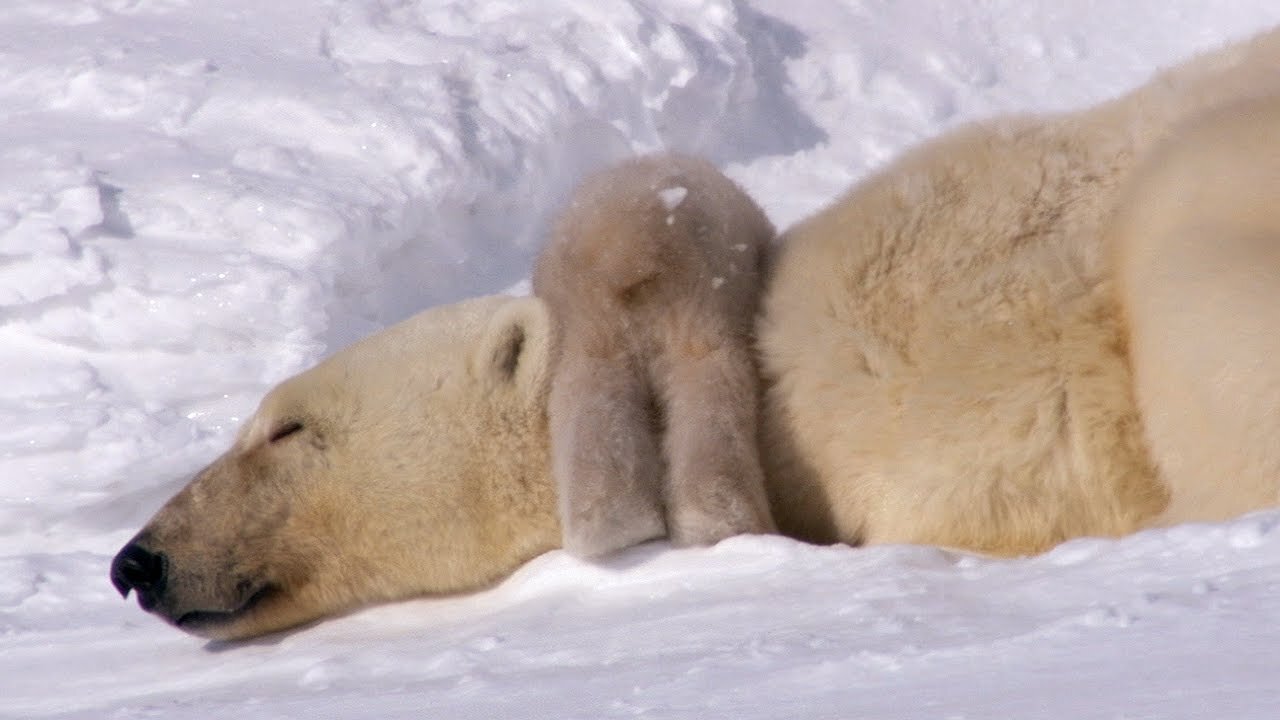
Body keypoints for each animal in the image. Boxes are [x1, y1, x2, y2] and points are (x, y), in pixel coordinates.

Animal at [535, 151, 773, 556]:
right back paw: (718, 518)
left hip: (595, 328)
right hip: (700, 305)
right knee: (710, 386)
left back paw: (612, 521)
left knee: (593, 400)